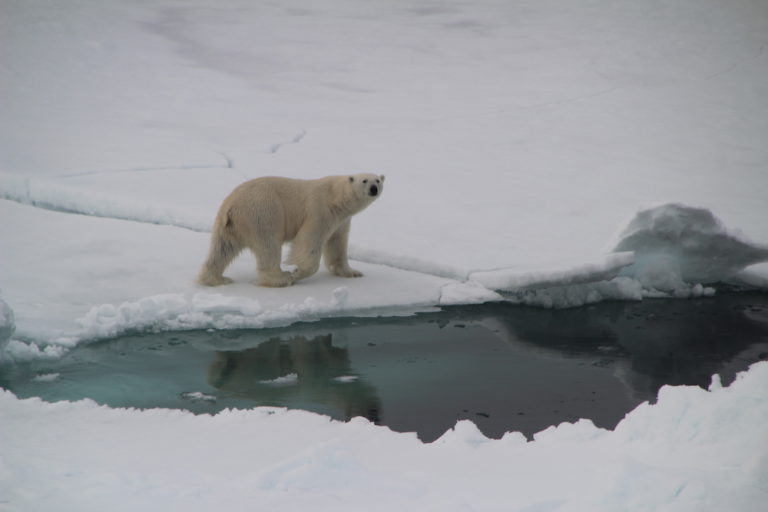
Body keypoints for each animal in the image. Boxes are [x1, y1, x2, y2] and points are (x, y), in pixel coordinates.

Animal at [195, 174, 380, 288]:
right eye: (365, 180)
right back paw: (281, 279)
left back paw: (215, 279)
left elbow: (337, 244)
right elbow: (309, 242)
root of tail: (231, 206)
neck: (335, 196)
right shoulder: (319, 211)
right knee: (268, 245)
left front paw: (352, 272)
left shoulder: (341, 221)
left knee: (222, 248)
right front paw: (296, 273)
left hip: (228, 225)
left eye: (378, 180)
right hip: (262, 213)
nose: (374, 188)